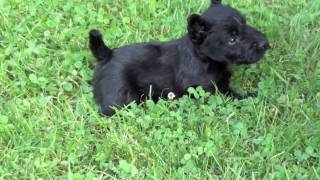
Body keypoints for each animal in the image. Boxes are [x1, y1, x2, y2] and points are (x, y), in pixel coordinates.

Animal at [89, 0, 268, 116]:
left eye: (245, 23)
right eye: (232, 39)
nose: (265, 43)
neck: (202, 58)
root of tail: (107, 54)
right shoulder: (212, 91)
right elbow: (233, 96)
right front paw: (251, 97)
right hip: (122, 100)